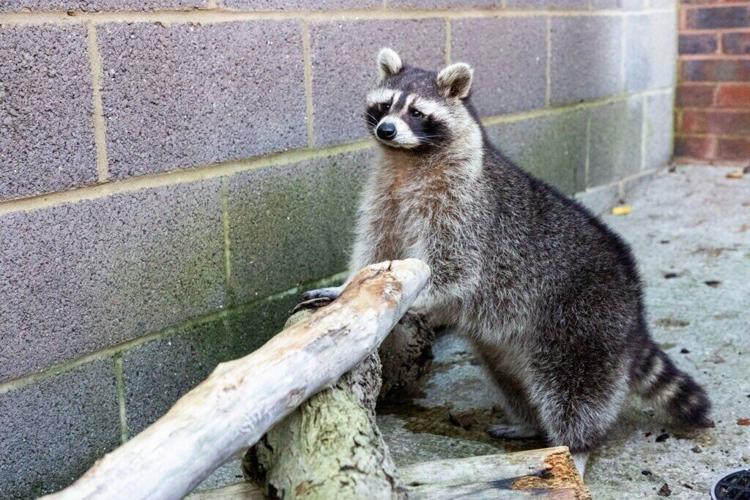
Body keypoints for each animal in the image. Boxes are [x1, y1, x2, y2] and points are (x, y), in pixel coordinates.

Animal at [304, 48, 712, 456]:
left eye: (417, 112)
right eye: (386, 105)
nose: (386, 130)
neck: (408, 160)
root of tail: (634, 306)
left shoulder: (465, 206)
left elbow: (456, 265)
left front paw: (413, 300)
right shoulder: (385, 197)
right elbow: (377, 246)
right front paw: (350, 287)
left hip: (584, 317)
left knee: (574, 383)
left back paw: (575, 446)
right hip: (517, 344)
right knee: (512, 378)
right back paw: (529, 424)